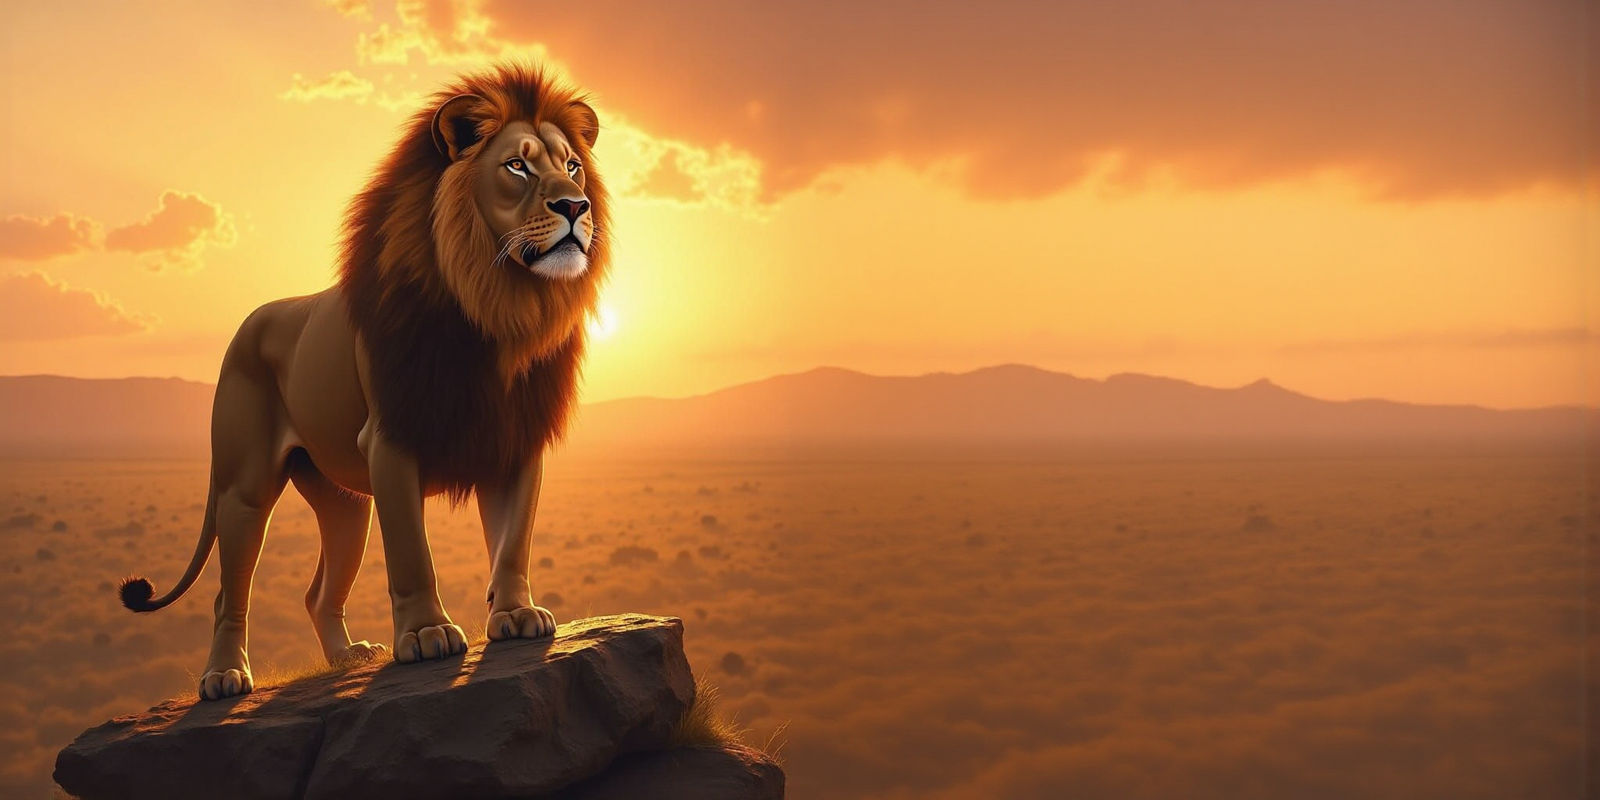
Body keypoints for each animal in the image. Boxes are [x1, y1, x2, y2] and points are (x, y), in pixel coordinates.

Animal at [118, 64, 610, 701]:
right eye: (517, 166)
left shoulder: (514, 438)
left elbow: (512, 541)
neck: (499, 309)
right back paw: (225, 676)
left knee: (317, 592)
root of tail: (250, 321)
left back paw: (346, 658)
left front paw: (516, 616)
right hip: (243, 488)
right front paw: (426, 635)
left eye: (572, 165)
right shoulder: (391, 440)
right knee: (230, 592)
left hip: (345, 505)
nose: (575, 205)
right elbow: (411, 553)